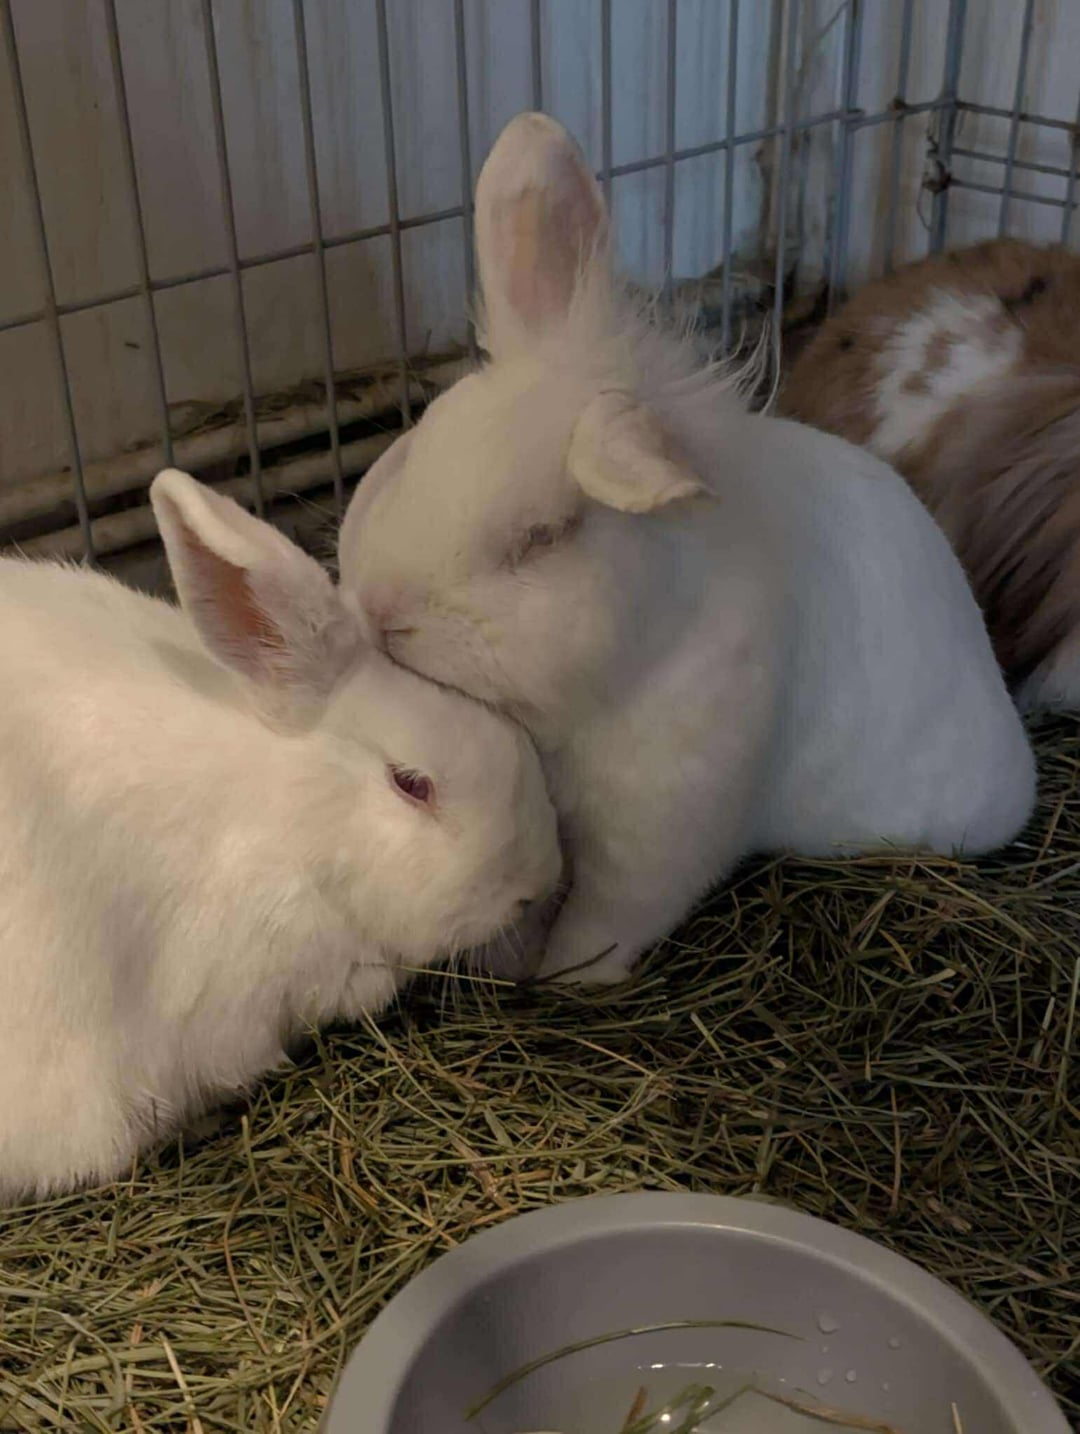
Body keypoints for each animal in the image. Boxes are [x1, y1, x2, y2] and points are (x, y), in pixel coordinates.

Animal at [337, 112, 1035, 988]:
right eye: (417, 448)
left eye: (542, 538)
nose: (379, 609)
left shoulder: (662, 830)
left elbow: (610, 917)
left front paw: (563, 978)